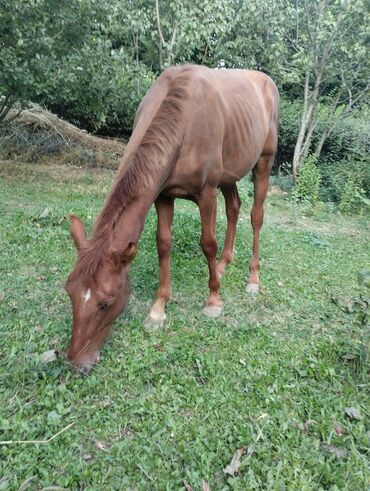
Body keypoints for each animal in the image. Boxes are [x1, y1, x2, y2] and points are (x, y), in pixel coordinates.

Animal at [64, 64, 278, 372]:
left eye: (106, 303)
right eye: (69, 291)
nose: (75, 363)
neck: (184, 121)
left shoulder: (207, 193)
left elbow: (207, 244)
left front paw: (213, 301)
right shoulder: (163, 195)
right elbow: (163, 243)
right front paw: (158, 309)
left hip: (263, 162)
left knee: (256, 217)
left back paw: (252, 278)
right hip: (230, 173)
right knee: (234, 208)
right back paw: (223, 265)